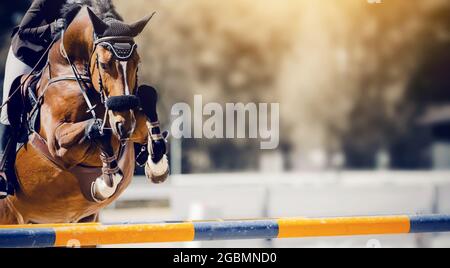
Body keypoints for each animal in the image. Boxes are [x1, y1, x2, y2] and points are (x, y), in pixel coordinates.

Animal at [0, 5, 169, 225]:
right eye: (104, 65)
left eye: (137, 63)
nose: (124, 125)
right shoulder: (57, 143)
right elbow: (96, 128)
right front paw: (104, 183)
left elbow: (148, 98)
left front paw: (157, 166)